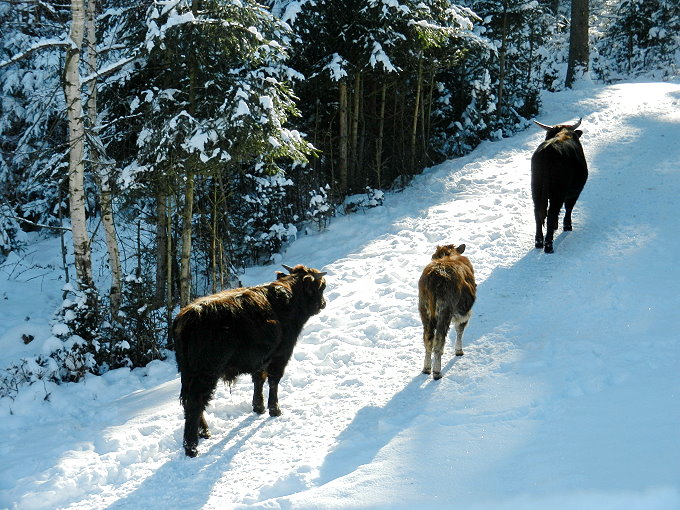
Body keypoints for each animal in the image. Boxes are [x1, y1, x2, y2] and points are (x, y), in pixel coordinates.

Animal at [173, 264, 326, 456]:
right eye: (322, 286)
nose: (323, 303)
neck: (290, 297)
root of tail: (189, 316)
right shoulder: (281, 355)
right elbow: (273, 381)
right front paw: (275, 409)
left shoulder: (261, 359)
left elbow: (259, 380)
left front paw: (258, 407)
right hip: (205, 373)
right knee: (195, 403)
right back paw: (192, 447)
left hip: (187, 374)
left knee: (189, 403)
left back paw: (204, 433)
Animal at [418, 245, 476, 380]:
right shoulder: (464, 313)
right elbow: (460, 330)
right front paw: (459, 351)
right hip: (445, 311)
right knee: (439, 339)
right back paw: (437, 372)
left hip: (424, 310)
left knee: (428, 339)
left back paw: (427, 368)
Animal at [532, 120, 588, 255]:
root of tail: (548, 151)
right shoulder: (574, 192)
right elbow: (569, 207)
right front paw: (567, 226)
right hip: (558, 192)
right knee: (552, 212)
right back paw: (548, 246)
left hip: (536, 189)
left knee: (538, 213)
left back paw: (539, 242)